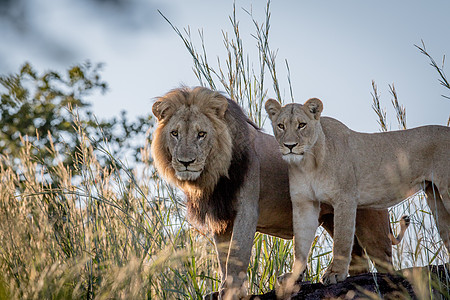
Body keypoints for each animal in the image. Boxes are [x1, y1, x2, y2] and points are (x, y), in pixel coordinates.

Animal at [151, 86, 408, 298]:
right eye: (175, 133)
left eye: (201, 134)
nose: (185, 162)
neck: (213, 173)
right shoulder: (220, 217)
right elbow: (223, 258)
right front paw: (221, 289)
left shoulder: (247, 209)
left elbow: (236, 256)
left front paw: (232, 292)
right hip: (334, 219)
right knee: (356, 259)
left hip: (372, 227)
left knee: (385, 263)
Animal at [266, 98, 448, 286]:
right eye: (281, 126)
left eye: (302, 125)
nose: (290, 146)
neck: (309, 163)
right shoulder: (304, 203)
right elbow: (300, 244)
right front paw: (293, 276)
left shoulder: (345, 198)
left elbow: (342, 241)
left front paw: (335, 273)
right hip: (435, 197)